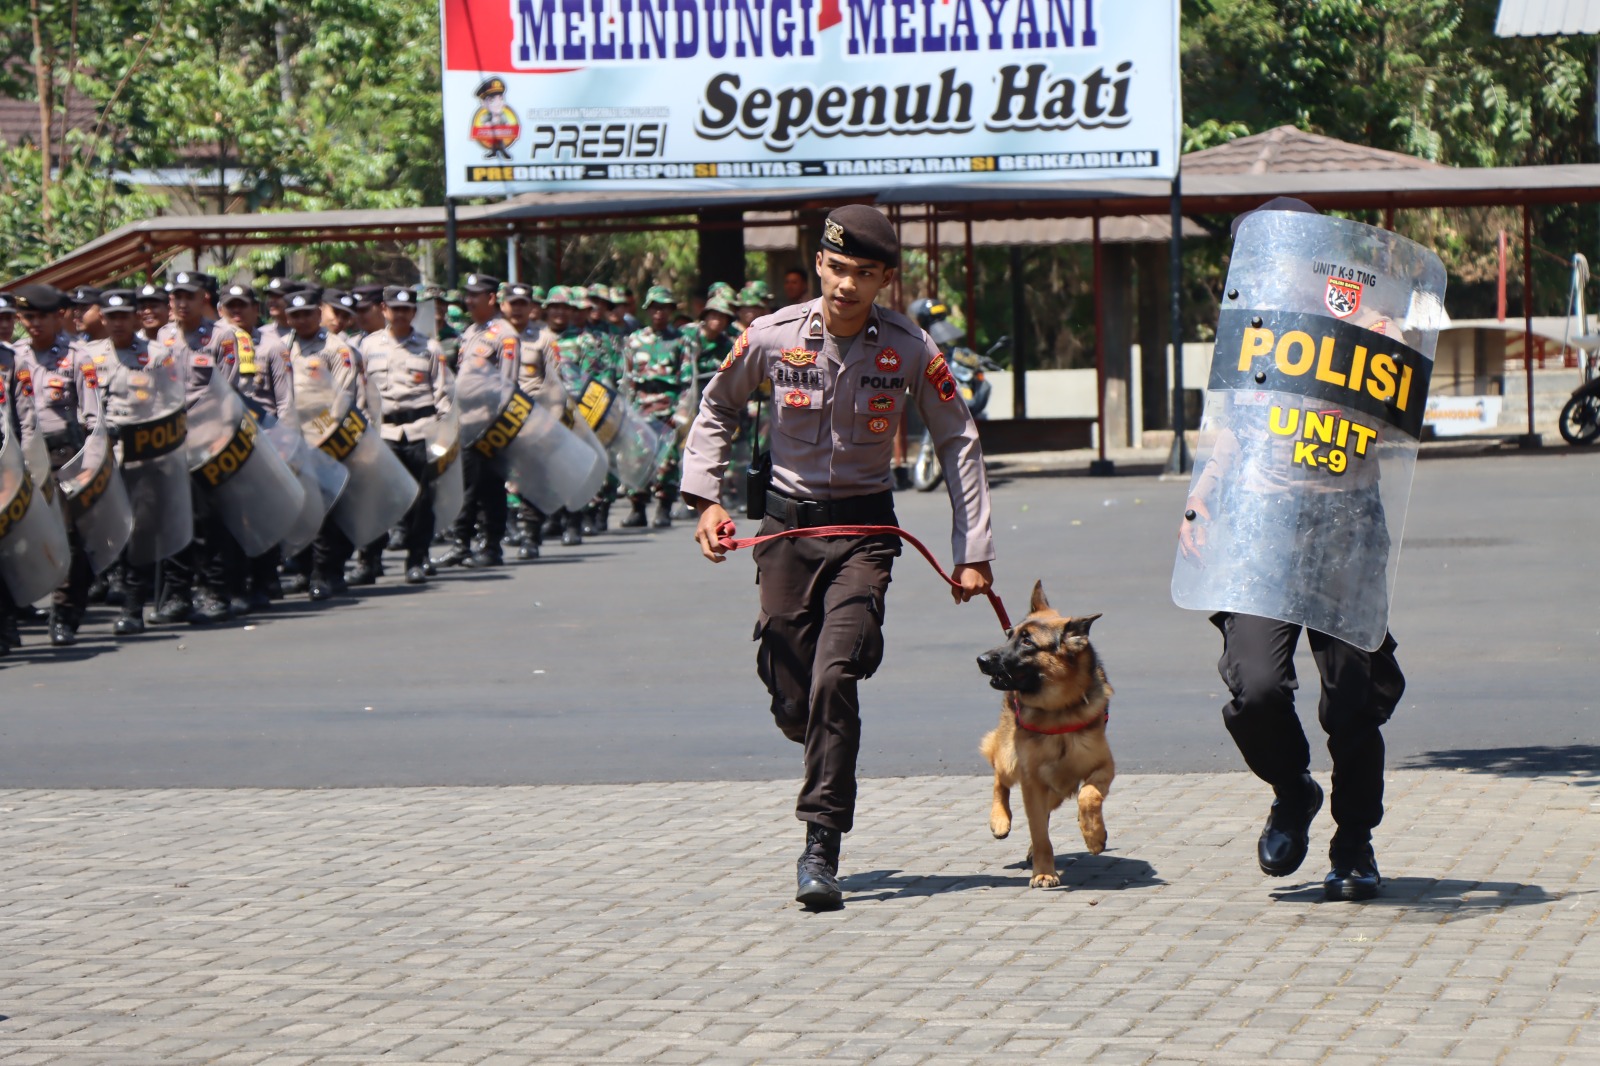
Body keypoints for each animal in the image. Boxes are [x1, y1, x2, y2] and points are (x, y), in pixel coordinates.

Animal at [972, 576, 1113, 883]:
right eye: (1009, 635)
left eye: (1027, 641)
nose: (981, 659)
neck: (1059, 711)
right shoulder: (1032, 782)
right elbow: (1039, 833)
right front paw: (1044, 872)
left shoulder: (1104, 767)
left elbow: (1089, 795)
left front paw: (1094, 835)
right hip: (1011, 760)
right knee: (1000, 779)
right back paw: (999, 820)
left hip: (1057, 787)